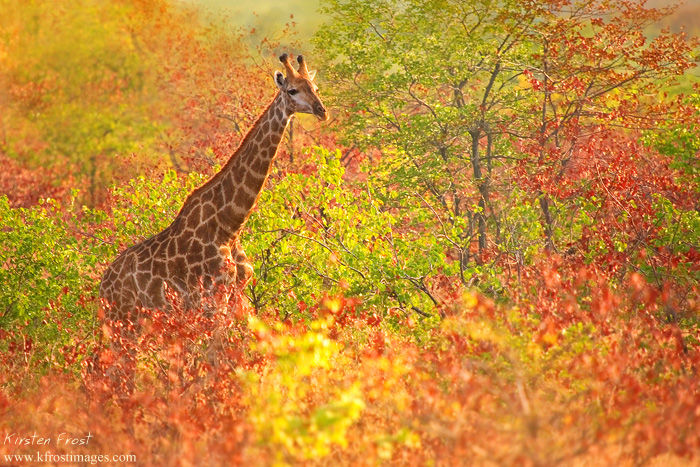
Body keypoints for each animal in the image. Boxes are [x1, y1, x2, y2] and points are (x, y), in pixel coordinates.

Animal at [99, 54, 327, 323]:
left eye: (315, 88)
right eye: (292, 90)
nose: (321, 111)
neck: (230, 225)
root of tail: (102, 289)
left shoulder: (238, 297)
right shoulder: (212, 299)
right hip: (123, 321)